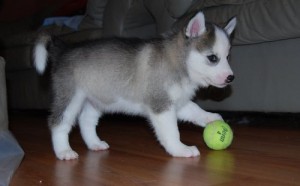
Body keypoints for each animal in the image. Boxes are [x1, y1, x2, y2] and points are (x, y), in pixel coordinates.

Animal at [33, 11, 237, 160]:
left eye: (228, 57)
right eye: (213, 58)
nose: (231, 78)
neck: (179, 63)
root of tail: (64, 49)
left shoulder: (176, 102)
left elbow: (194, 109)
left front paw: (210, 117)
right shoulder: (161, 105)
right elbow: (171, 132)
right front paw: (180, 149)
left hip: (98, 99)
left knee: (86, 121)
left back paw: (94, 144)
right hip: (70, 97)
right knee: (58, 123)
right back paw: (63, 151)